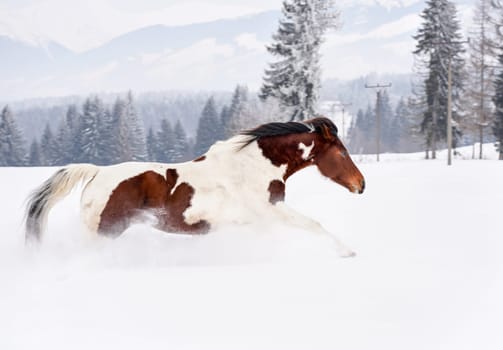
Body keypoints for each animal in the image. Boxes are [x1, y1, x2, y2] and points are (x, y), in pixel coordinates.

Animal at [25, 117, 366, 258]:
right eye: (342, 153)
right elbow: (314, 224)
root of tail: (97, 173)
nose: (361, 185)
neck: (254, 165)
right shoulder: (272, 211)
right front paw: (347, 251)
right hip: (104, 232)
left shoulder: (259, 220)